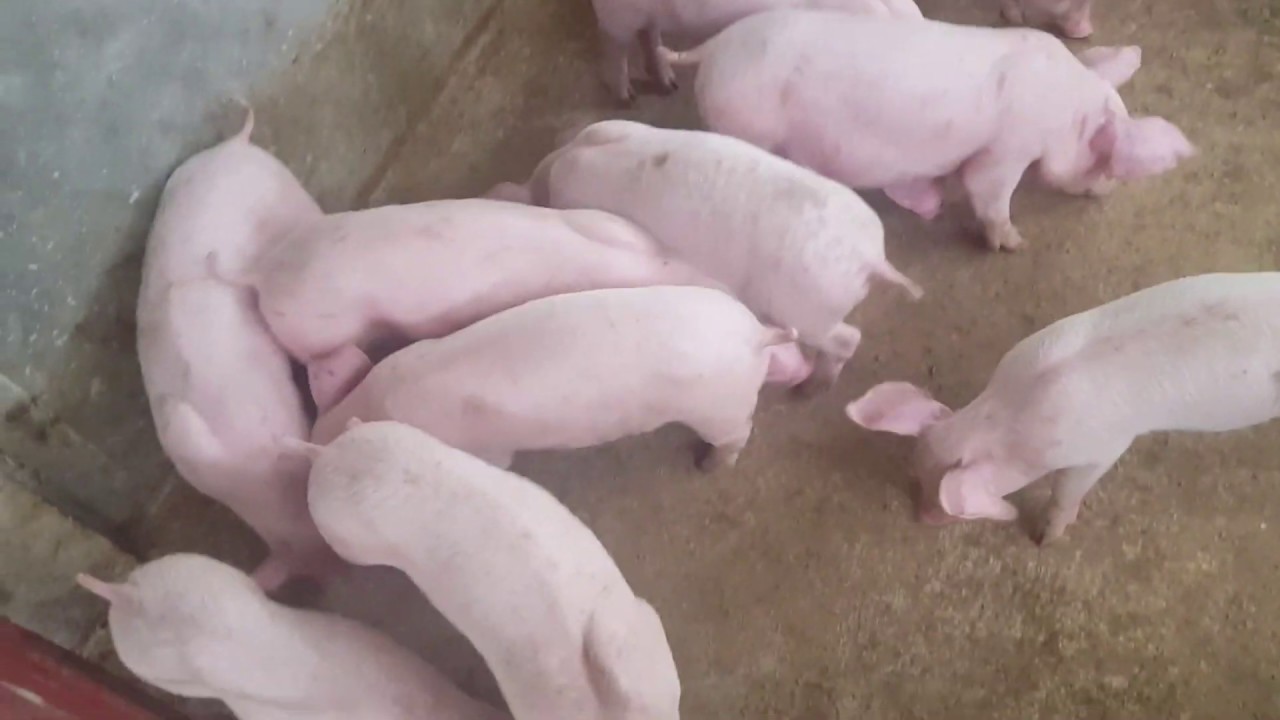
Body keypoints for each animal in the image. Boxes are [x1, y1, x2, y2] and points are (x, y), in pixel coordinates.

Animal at [659, 11, 1194, 251]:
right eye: (1105, 156)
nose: (1108, 191)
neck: (1064, 108)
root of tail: (714, 48)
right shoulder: (1008, 150)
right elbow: (989, 192)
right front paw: (1013, 242)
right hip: (745, 122)